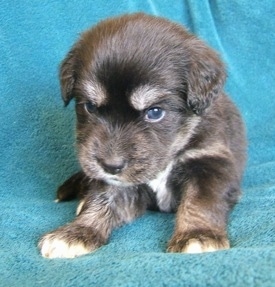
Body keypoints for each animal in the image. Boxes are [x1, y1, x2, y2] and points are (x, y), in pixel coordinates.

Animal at [38, 12, 246, 258]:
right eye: (90, 107)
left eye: (154, 112)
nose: (110, 165)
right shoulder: (118, 183)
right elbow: (102, 200)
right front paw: (76, 233)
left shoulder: (209, 162)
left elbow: (200, 201)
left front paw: (198, 235)